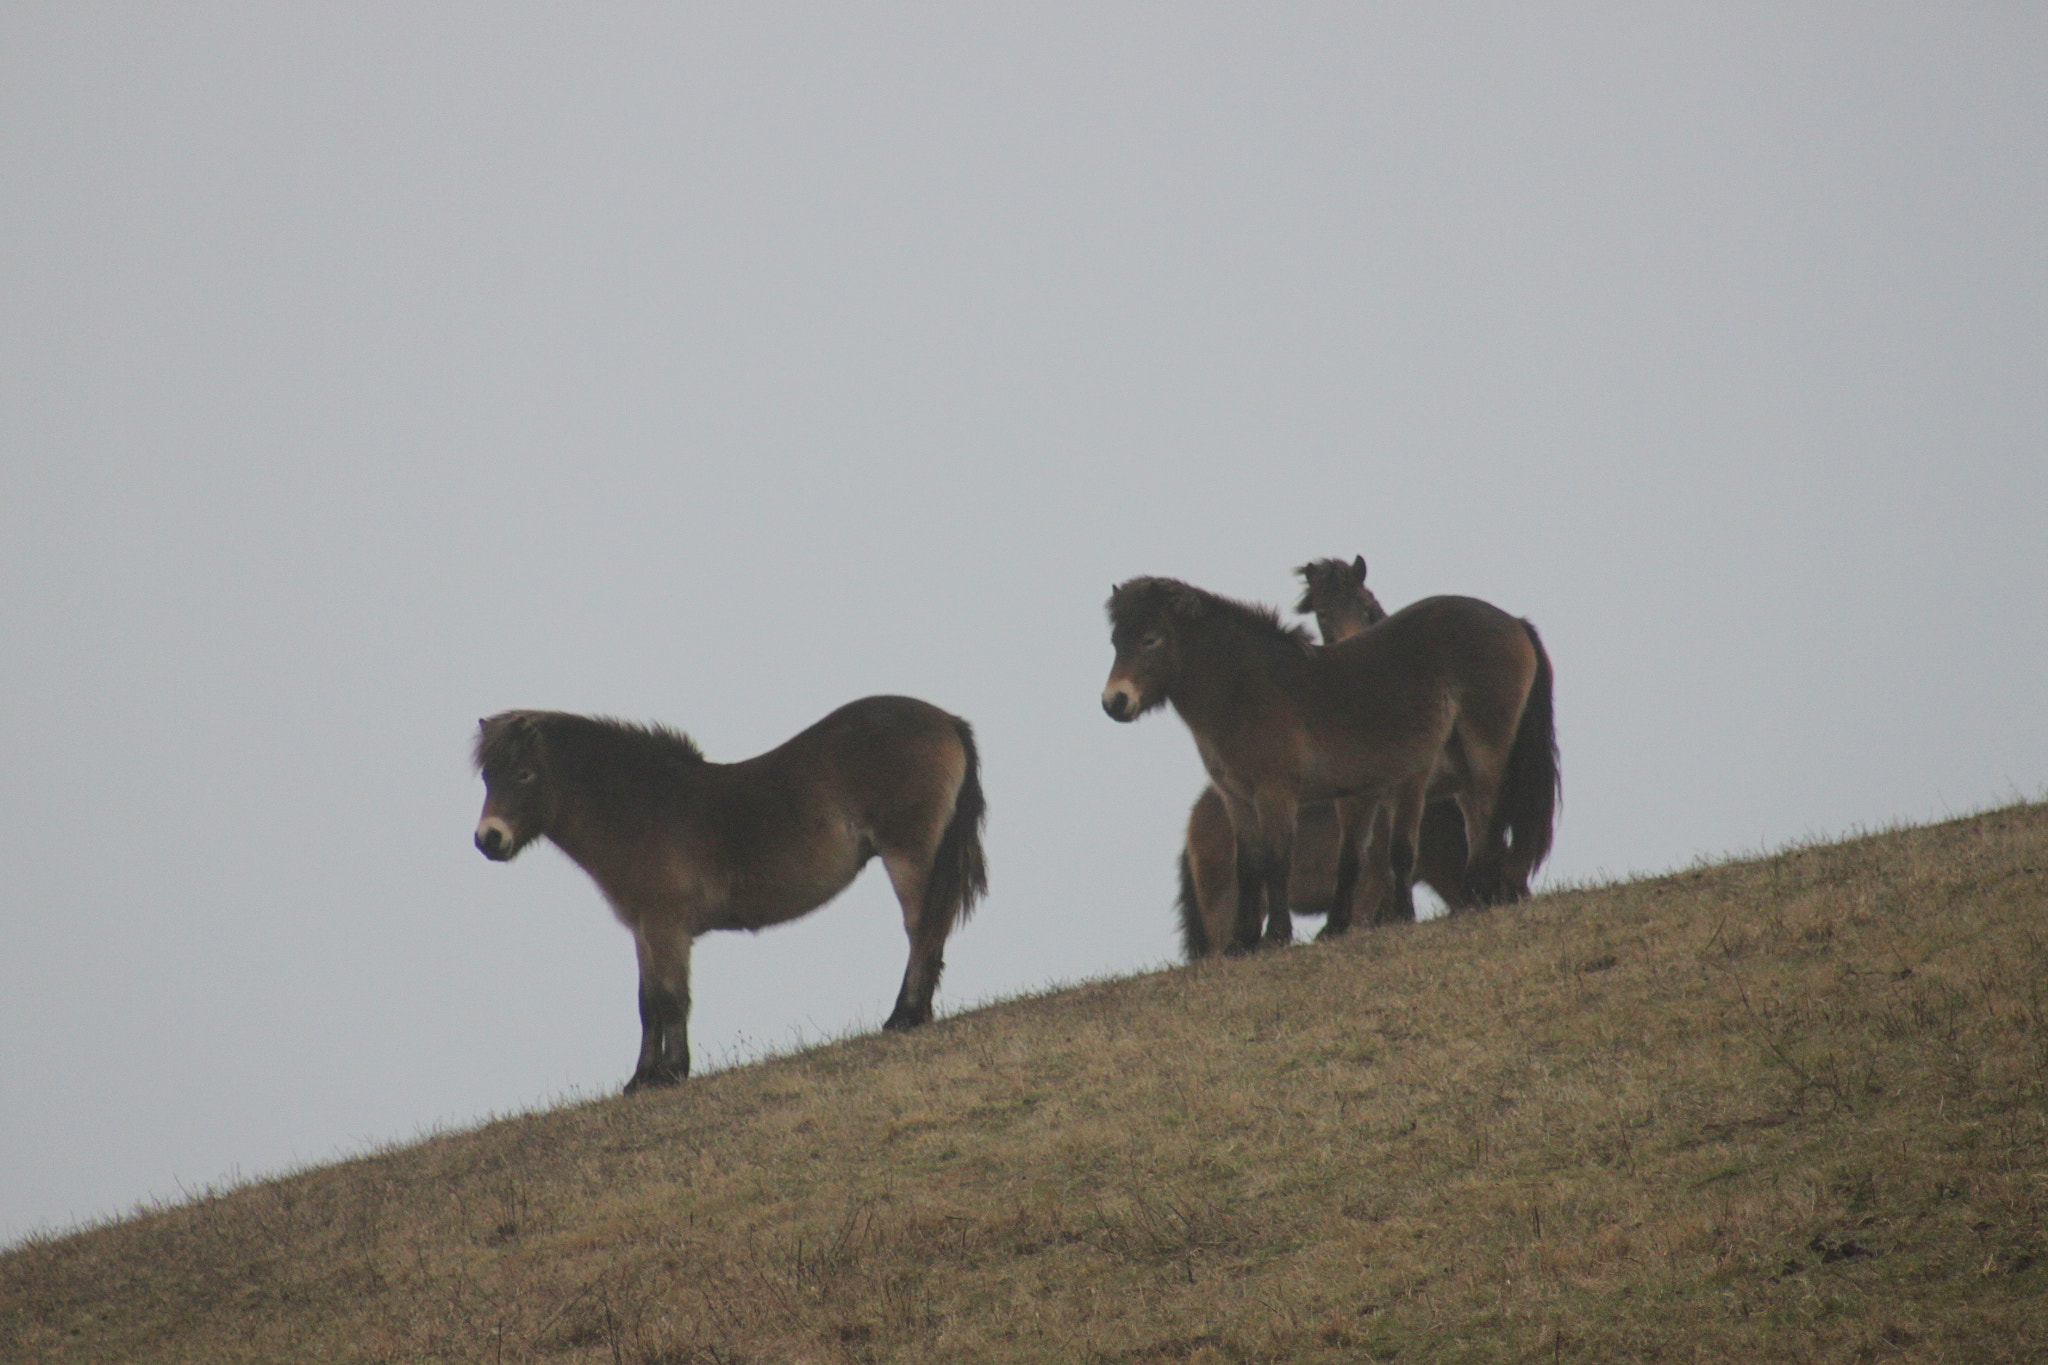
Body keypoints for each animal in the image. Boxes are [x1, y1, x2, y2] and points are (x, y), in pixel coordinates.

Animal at [472, 695, 987, 1093]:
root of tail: (945, 719)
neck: (640, 808)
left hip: (908, 852)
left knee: (922, 929)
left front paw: (672, 1072)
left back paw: (905, 1016)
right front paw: (641, 1080)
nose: (488, 839)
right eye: (486, 777)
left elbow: (671, 998)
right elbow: (647, 1001)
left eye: (523, 774)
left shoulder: (666, 925)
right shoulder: (643, 928)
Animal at [1104, 577, 1556, 951]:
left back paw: (1476, 894)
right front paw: (1242, 943)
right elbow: (1249, 865)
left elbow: (1276, 861)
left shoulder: (1276, 792)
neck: (1247, 689)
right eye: (1115, 642)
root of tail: (1513, 622)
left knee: (1487, 815)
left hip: (1485, 746)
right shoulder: (1237, 797)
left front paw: (1276, 937)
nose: (1115, 702)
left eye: (1149, 639)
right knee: (1475, 818)